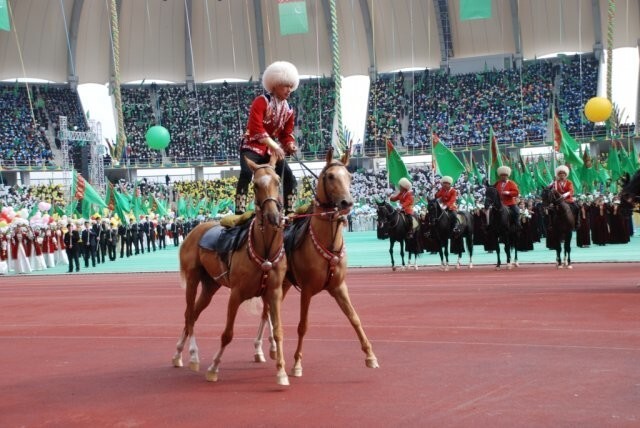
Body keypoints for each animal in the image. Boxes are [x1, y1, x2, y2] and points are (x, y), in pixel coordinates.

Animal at [171, 156, 288, 384]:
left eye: (278, 181)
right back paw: (191, 355)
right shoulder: (236, 294)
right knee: (189, 315)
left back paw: (180, 353)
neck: (264, 250)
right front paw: (214, 367)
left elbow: (278, 331)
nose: (273, 216)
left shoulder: (274, 292)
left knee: (194, 314)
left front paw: (281, 372)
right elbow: (227, 334)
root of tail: (195, 230)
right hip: (193, 279)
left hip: (210, 286)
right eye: (255, 184)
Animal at [252, 150, 378, 374]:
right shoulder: (308, 289)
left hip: (283, 285)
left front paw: (370, 355)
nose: (347, 203)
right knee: (266, 313)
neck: (326, 240)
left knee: (269, 313)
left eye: (349, 176)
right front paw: (297, 364)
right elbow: (303, 325)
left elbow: (354, 318)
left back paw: (271, 349)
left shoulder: (339, 286)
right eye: (330, 176)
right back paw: (260, 349)